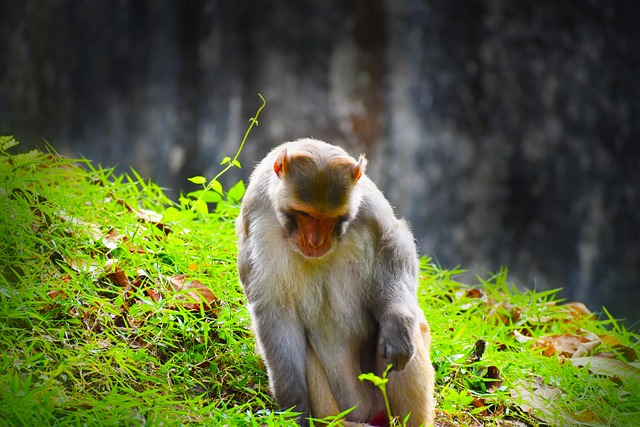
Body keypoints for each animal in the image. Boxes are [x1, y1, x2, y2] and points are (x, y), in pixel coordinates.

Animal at [235, 139, 436, 426]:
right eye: (305, 214)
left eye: (329, 218)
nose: (316, 242)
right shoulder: (257, 219)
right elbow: (276, 312)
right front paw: (295, 408)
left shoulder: (370, 206)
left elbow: (395, 246)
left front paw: (397, 322)